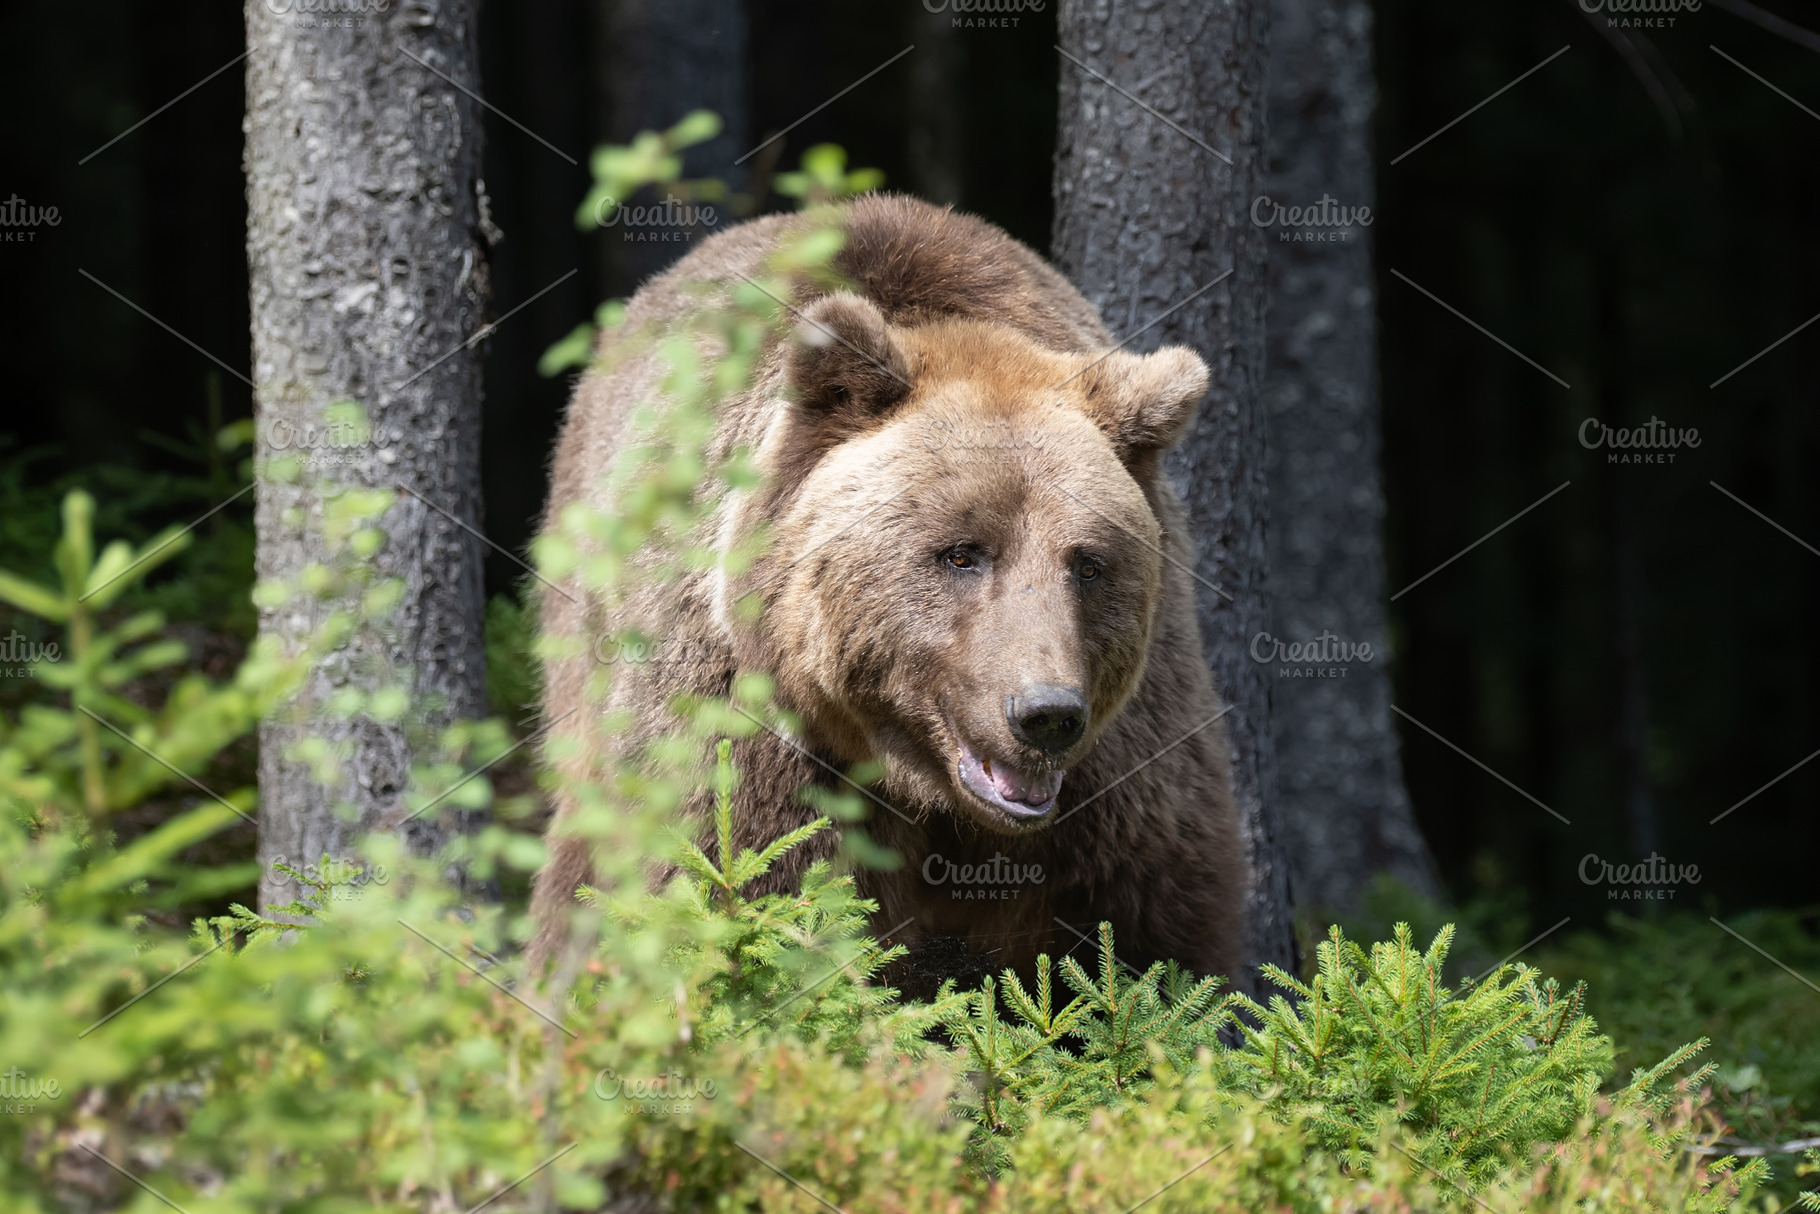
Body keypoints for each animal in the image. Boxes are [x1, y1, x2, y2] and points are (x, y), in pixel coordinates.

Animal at [530, 194, 1246, 996]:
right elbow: (751, 897)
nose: (1046, 715)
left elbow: (1147, 940)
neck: (930, 792)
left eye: (1089, 563)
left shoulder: (1123, 771)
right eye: (961, 553)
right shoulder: (758, 730)